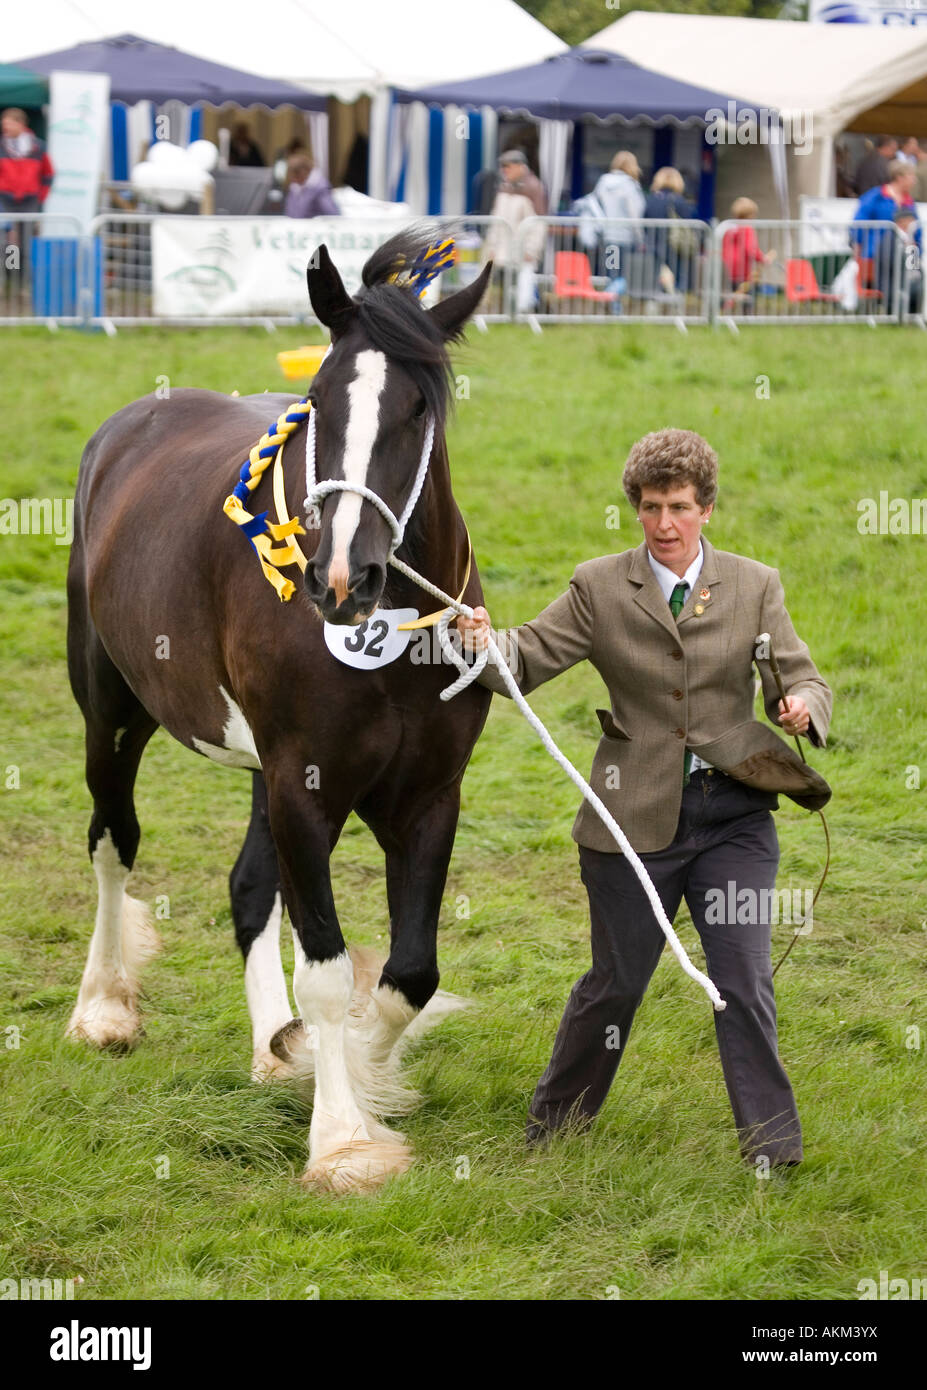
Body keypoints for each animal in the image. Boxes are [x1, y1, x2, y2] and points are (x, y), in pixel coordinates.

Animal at [65, 233, 491, 1189]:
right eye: (320, 399)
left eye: (417, 407)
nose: (341, 577)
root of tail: (131, 425)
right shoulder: (305, 785)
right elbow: (326, 971)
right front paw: (342, 1138)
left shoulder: (426, 797)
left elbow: (407, 974)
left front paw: (340, 1066)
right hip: (111, 716)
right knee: (113, 844)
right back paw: (102, 1006)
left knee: (250, 889)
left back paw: (270, 1047)